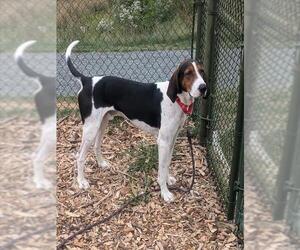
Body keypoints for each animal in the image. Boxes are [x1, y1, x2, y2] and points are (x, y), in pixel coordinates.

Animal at [65, 40, 207, 201]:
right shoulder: (163, 141)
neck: (177, 99)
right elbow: (162, 168)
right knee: (79, 156)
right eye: (188, 73)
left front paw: (168, 179)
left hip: (102, 122)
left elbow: (167, 164)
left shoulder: (172, 139)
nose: (203, 87)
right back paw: (81, 181)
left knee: (96, 146)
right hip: (91, 128)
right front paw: (165, 193)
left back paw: (102, 164)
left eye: (202, 71)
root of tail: (87, 80)